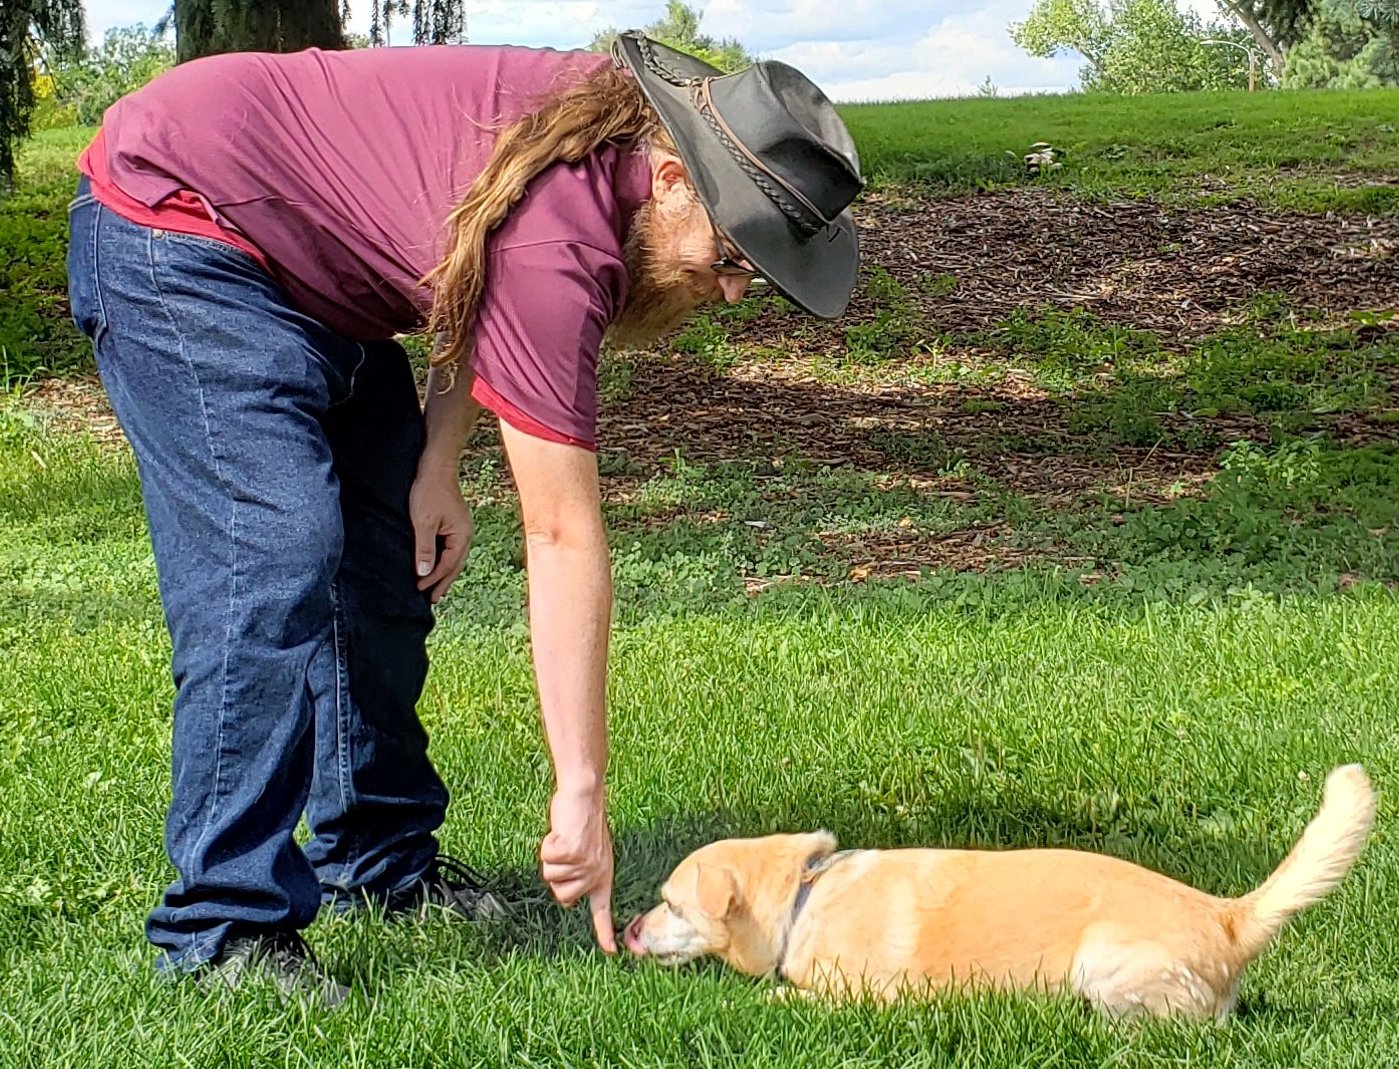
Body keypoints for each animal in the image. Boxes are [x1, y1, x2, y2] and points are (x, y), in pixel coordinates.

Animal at [626, 766, 1376, 1024]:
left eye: (671, 902)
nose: (629, 928)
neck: (804, 898)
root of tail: (1228, 917)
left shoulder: (872, 996)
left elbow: (791, 995)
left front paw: (774, 996)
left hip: (1102, 963)